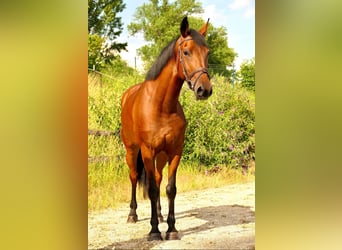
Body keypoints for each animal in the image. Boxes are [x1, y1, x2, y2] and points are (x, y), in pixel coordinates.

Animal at [119, 17, 211, 240]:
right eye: (186, 52)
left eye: (208, 52)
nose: (204, 90)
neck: (161, 106)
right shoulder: (147, 151)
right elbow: (152, 189)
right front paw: (153, 231)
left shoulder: (175, 151)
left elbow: (170, 189)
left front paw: (171, 229)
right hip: (132, 151)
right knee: (134, 177)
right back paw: (132, 215)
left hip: (160, 156)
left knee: (159, 179)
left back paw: (160, 215)